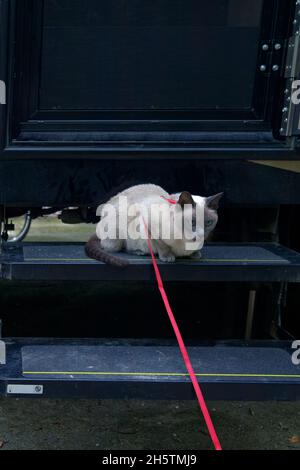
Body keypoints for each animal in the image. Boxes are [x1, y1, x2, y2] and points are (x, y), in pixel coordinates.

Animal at [85, 184, 223, 266]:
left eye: (208, 223)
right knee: (121, 247)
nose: (200, 235)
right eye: (192, 222)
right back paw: (139, 252)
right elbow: (163, 246)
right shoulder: (150, 226)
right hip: (119, 234)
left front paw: (195, 254)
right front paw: (168, 257)